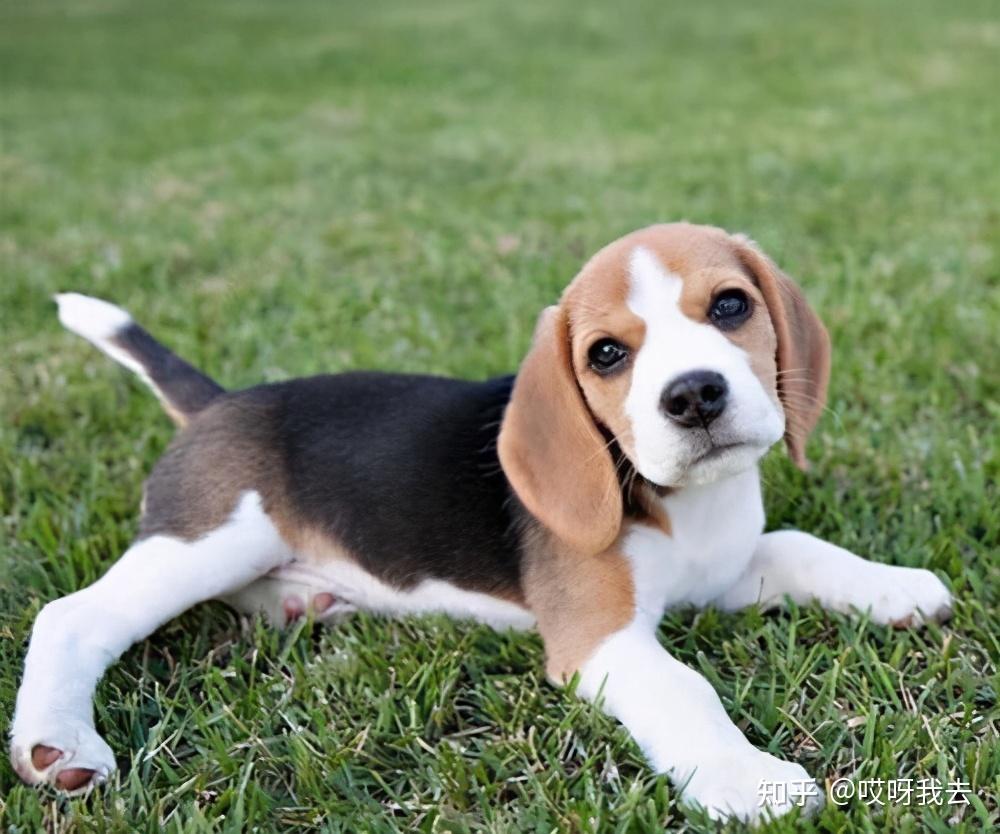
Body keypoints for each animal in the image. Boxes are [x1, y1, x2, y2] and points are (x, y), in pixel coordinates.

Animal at [9, 221, 952, 820]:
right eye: (605, 354)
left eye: (729, 306)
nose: (693, 396)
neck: (682, 505)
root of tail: (220, 402)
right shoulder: (598, 639)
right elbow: (685, 688)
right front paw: (748, 779)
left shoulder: (723, 569)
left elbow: (798, 544)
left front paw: (896, 588)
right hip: (213, 536)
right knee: (75, 615)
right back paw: (58, 743)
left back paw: (298, 601)